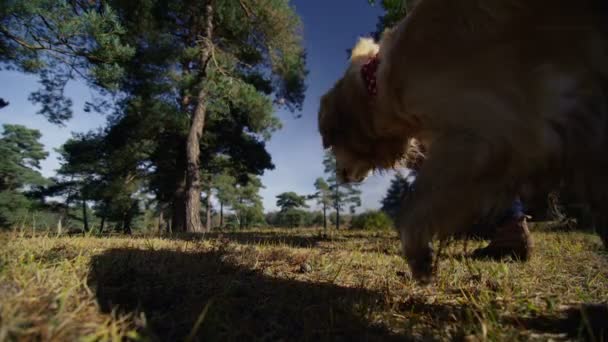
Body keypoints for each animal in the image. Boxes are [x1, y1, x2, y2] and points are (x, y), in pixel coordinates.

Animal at [318, 0, 608, 284]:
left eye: (332, 143)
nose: (339, 176)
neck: (380, 81)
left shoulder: (492, 131)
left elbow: (415, 205)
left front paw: (419, 255)